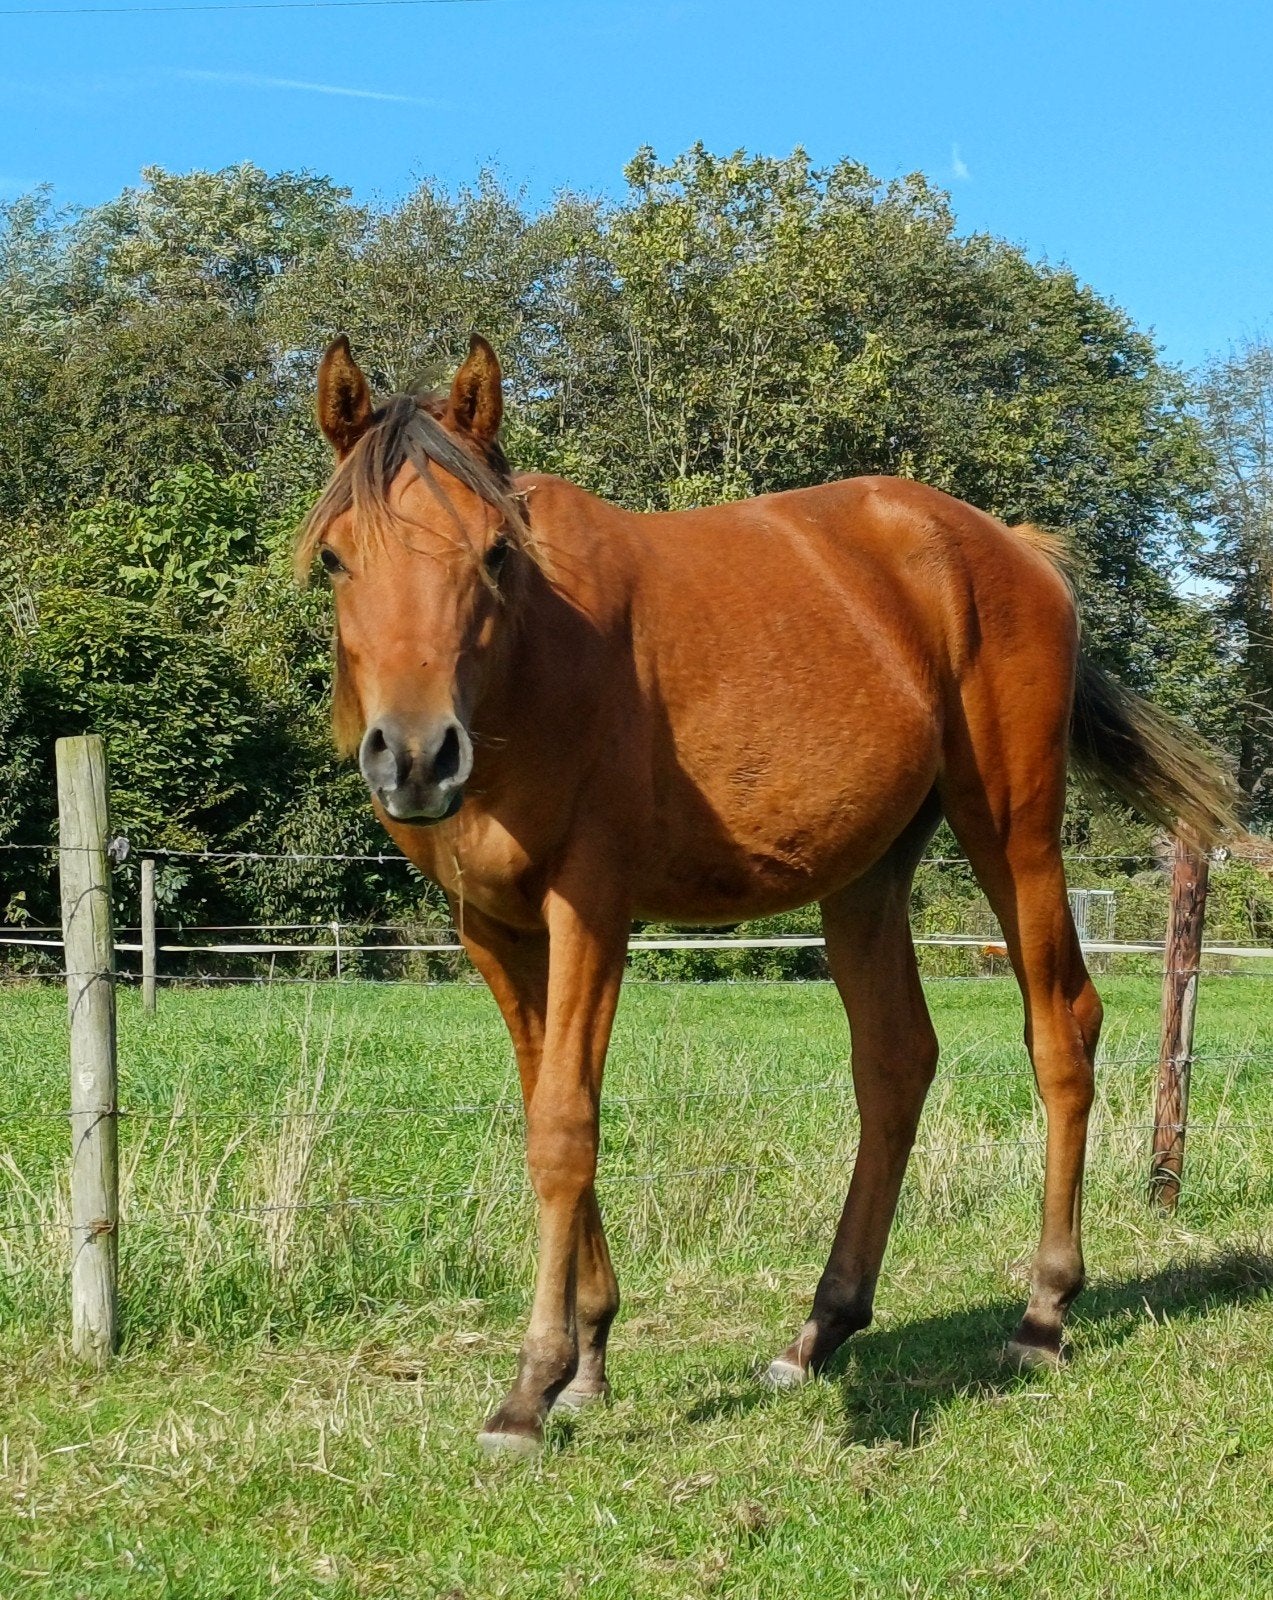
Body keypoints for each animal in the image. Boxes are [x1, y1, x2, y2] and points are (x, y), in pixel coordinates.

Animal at [298, 332, 1236, 1455]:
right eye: (335, 558)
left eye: (493, 553)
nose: (413, 757)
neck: (527, 668)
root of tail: (1010, 548)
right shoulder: (490, 927)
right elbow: (549, 1110)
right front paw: (589, 1359)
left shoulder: (590, 909)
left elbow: (565, 1128)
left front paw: (530, 1386)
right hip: (867, 874)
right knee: (895, 1061)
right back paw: (820, 1330)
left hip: (1010, 833)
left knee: (1061, 1030)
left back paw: (1042, 1313)